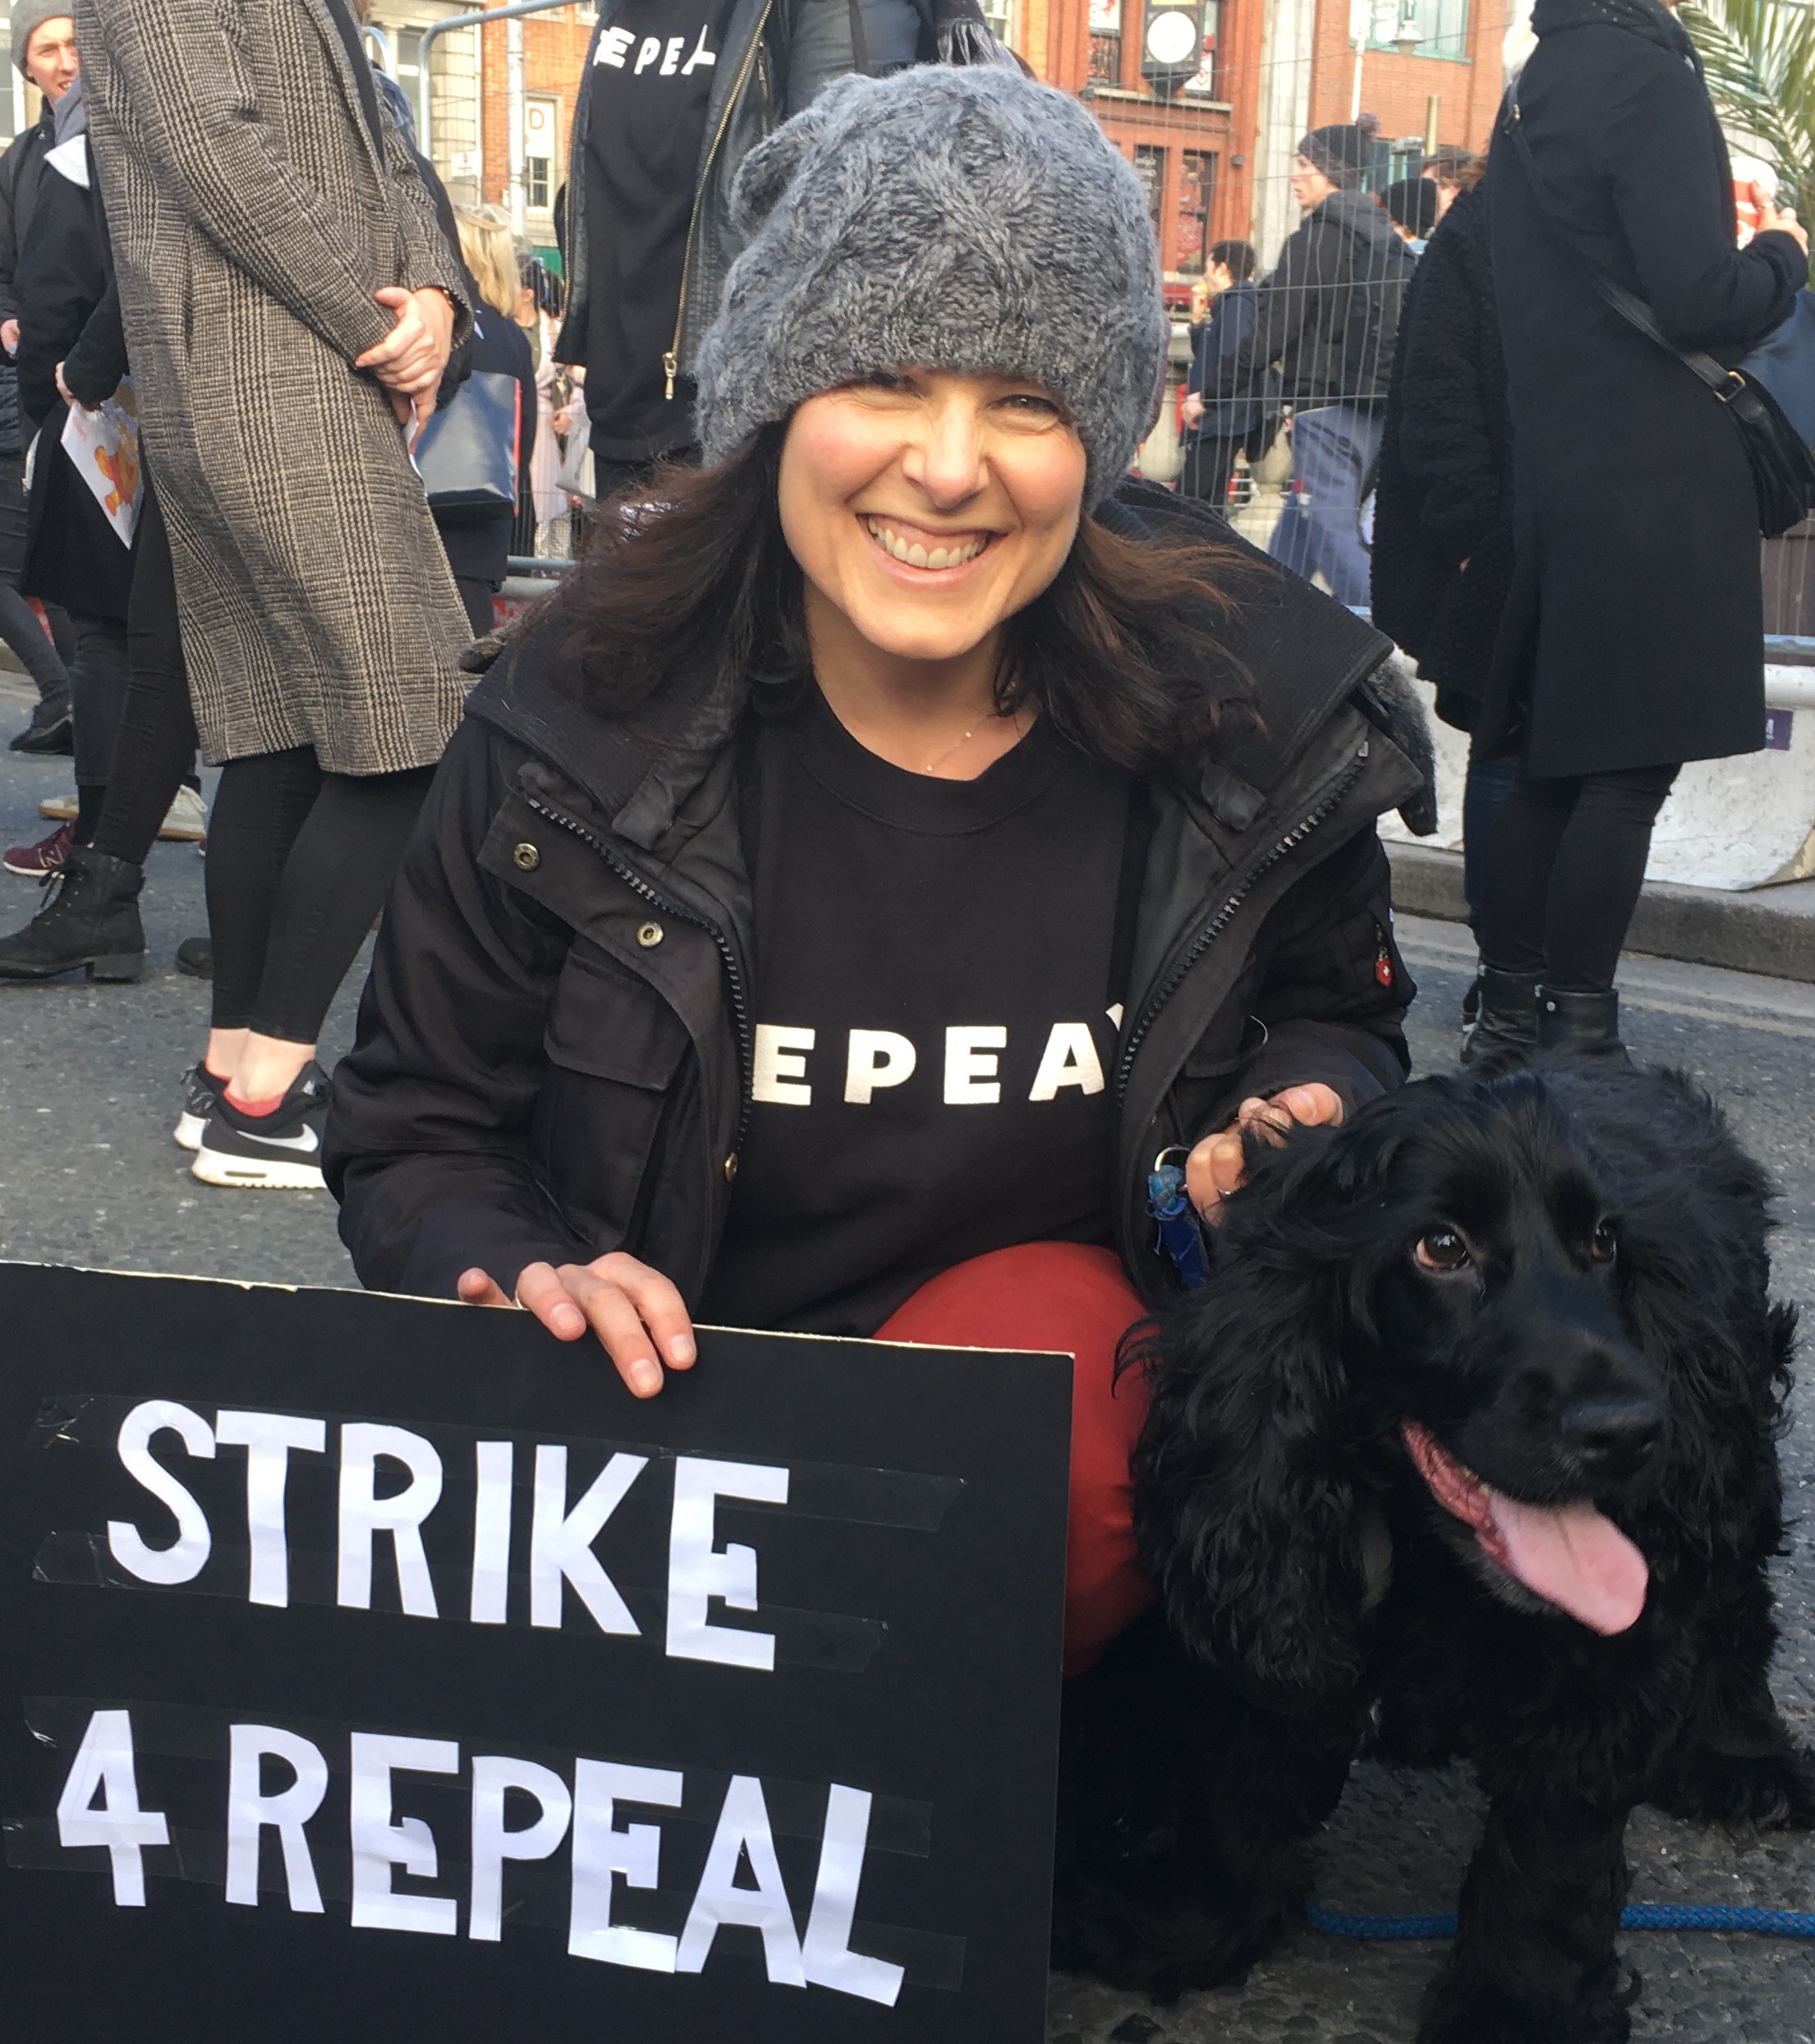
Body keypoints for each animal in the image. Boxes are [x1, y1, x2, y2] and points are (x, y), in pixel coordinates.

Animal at [1055, 1071, 1807, 2044]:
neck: (1430, 1557)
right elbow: (1241, 1772)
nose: (1632, 1430)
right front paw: (1181, 1914)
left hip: (1729, 1451)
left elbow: (1550, 1855)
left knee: (1735, 1597)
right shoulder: (1271, 1571)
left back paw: (1739, 1756)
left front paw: (1519, 2007)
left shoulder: (1608, 1658)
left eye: (1603, 1241)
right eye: (1439, 1247)